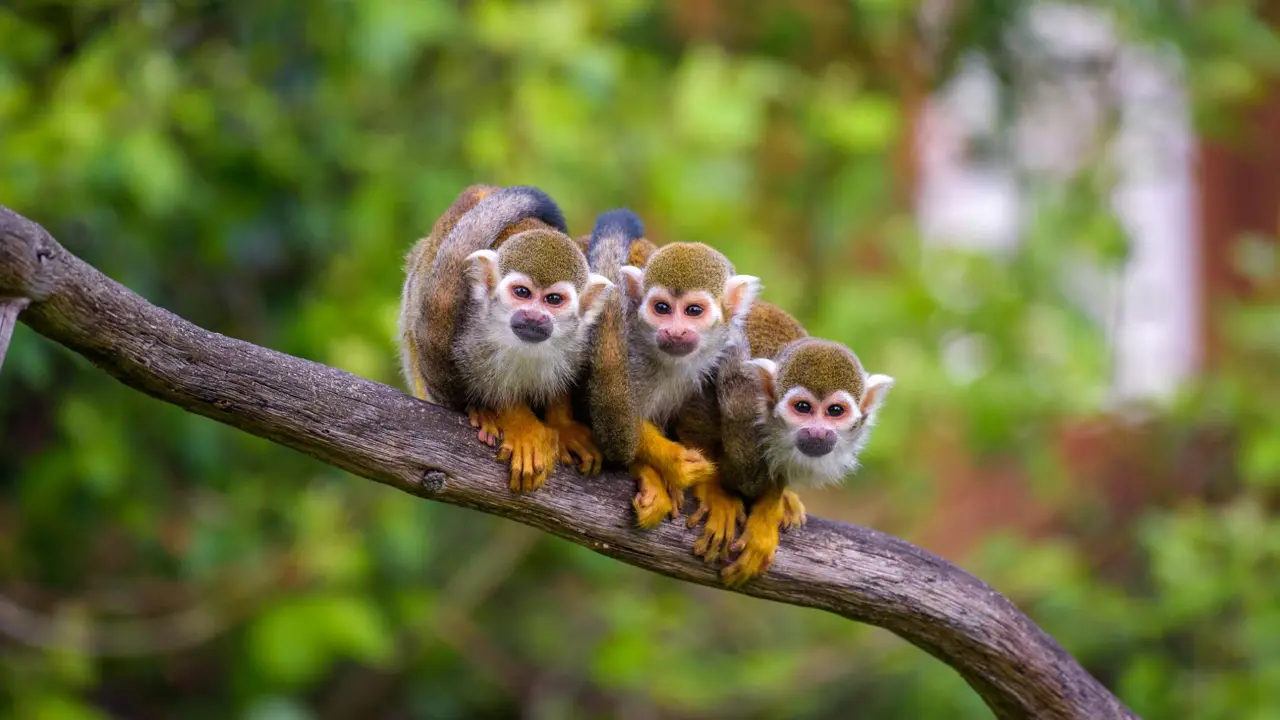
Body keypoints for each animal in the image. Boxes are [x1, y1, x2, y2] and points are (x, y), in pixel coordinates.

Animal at [398, 185, 613, 492]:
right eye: (522, 293)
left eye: (554, 300)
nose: (534, 317)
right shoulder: (470, 331)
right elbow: (486, 383)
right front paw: (519, 424)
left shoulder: (583, 337)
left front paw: (562, 425)